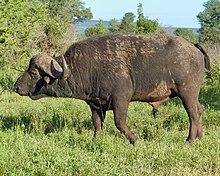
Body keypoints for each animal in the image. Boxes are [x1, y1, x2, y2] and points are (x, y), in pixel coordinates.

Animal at [13, 33, 210, 144]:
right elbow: (97, 124)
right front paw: (95, 141)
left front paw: (135, 139)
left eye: (33, 72)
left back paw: (190, 140)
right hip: (192, 95)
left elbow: (119, 123)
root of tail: (194, 46)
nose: (16, 86)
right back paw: (199, 138)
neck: (88, 67)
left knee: (193, 113)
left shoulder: (121, 99)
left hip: (187, 93)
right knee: (199, 110)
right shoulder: (95, 104)